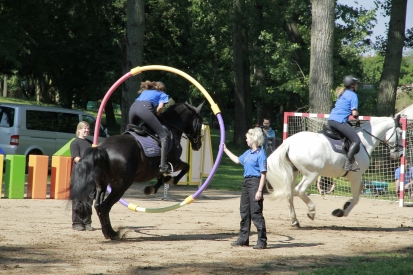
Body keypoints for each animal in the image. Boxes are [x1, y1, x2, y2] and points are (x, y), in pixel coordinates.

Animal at [71, 102, 205, 240]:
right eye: (200, 122)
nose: (198, 145)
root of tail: (103, 149)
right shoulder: (175, 162)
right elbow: (186, 167)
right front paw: (171, 179)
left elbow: (162, 178)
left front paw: (154, 187)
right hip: (121, 186)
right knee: (105, 206)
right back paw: (112, 233)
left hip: (101, 184)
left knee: (98, 205)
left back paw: (108, 232)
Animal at [266, 116, 400, 226]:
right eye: (400, 132)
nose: (399, 153)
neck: (365, 142)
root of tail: (289, 143)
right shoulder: (355, 176)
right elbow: (356, 197)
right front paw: (341, 212)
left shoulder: (357, 178)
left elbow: (360, 191)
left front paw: (345, 205)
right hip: (311, 174)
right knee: (299, 190)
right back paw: (311, 211)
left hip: (294, 172)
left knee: (289, 194)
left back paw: (295, 221)